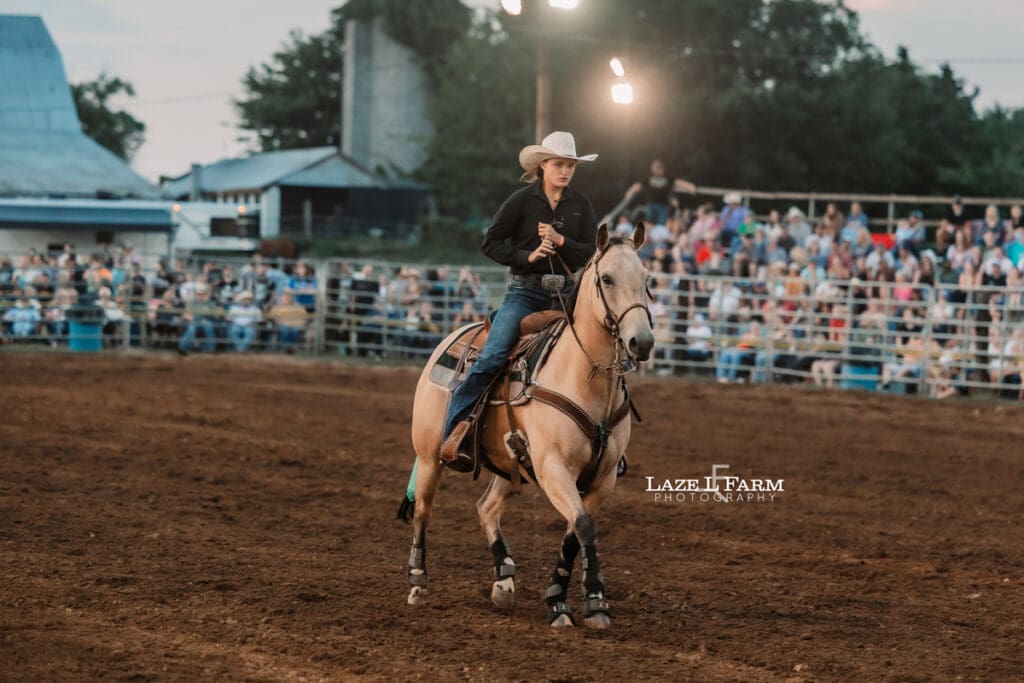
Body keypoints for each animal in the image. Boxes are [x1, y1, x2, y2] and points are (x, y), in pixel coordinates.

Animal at [402, 223, 653, 629]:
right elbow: (584, 526)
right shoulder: (553, 468)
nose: (641, 342)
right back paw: (418, 582)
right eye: (607, 278)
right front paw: (592, 603)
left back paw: (504, 582)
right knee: (424, 510)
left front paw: (563, 601)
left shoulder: (603, 478)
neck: (583, 378)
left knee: (487, 508)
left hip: (510, 464)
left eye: (647, 279)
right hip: (428, 457)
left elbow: (575, 531)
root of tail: (453, 337)